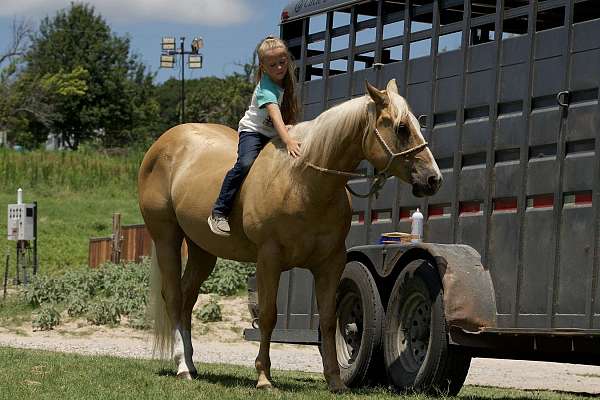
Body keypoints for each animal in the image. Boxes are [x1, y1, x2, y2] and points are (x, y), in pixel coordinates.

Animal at [139, 79, 440, 392]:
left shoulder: (330, 264)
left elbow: (329, 320)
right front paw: (263, 377)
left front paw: (335, 381)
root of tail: (165, 143)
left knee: (187, 297)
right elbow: (268, 316)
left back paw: (190, 362)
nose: (433, 178)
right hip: (166, 237)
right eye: (401, 128)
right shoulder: (269, 259)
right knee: (173, 297)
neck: (303, 181)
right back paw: (182, 366)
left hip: (202, 250)